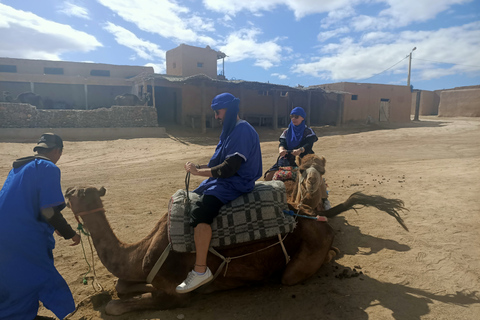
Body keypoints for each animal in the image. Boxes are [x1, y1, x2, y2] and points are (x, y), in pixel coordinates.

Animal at [64, 182, 408, 316]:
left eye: (79, 193)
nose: (66, 190)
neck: (141, 253)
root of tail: (312, 213)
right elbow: (121, 285)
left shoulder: (175, 296)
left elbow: (116, 304)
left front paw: (106, 302)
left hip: (302, 261)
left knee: (295, 273)